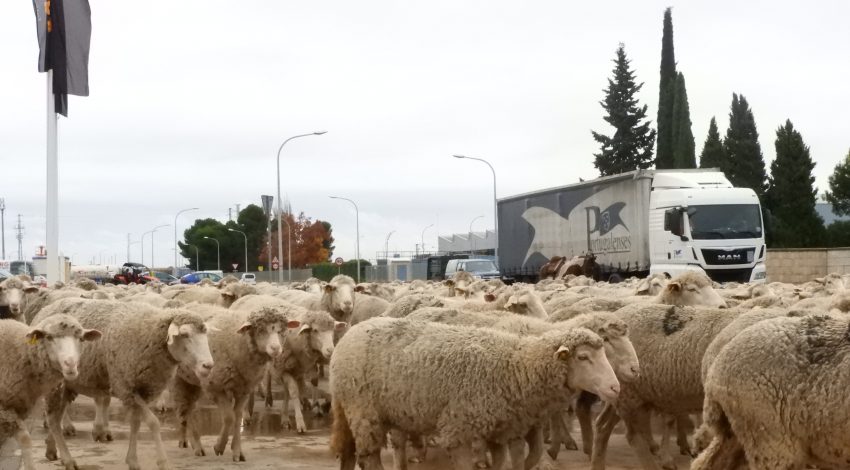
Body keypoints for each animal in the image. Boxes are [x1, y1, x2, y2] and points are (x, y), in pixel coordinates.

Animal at [0, 316, 101, 470]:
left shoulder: (14, 409)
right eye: (49, 337)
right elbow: (25, 439)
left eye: (81, 339)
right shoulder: (5, 409)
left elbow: (24, 439)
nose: (70, 364)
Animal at [33, 298, 215, 470]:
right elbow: (153, 422)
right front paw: (163, 462)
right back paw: (69, 460)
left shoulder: (143, 390)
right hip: (55, 385)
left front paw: (132, 460)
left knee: (56, 416)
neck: (149, 332)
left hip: (68, 385)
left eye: (205, 333)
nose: (208, 365)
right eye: (185, 334)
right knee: (53, 419)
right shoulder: (126, 387)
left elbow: (135, 423)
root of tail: (45, 311)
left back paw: (52, 451)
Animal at [172, 306, 297, 461]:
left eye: (281, 330)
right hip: (179, 378)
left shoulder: (244, 388)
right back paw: (197, 446)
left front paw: (237, 452)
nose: (275, 348)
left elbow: (237, 418)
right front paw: (219, 447)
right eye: (260, 330)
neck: (239, 343)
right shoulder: (215, 386)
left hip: (191, 380)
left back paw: (186, 442)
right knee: (185, 408)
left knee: (186, 408)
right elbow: (228, 417)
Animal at [329, 317, 619, 470]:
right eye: (583, 357)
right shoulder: (458, 430)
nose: (615, 388)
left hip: (381, 412)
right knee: (369, 456)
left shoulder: (498, 431)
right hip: (363, 411)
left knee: (354, 452)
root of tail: (350, 333)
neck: (516, 366)